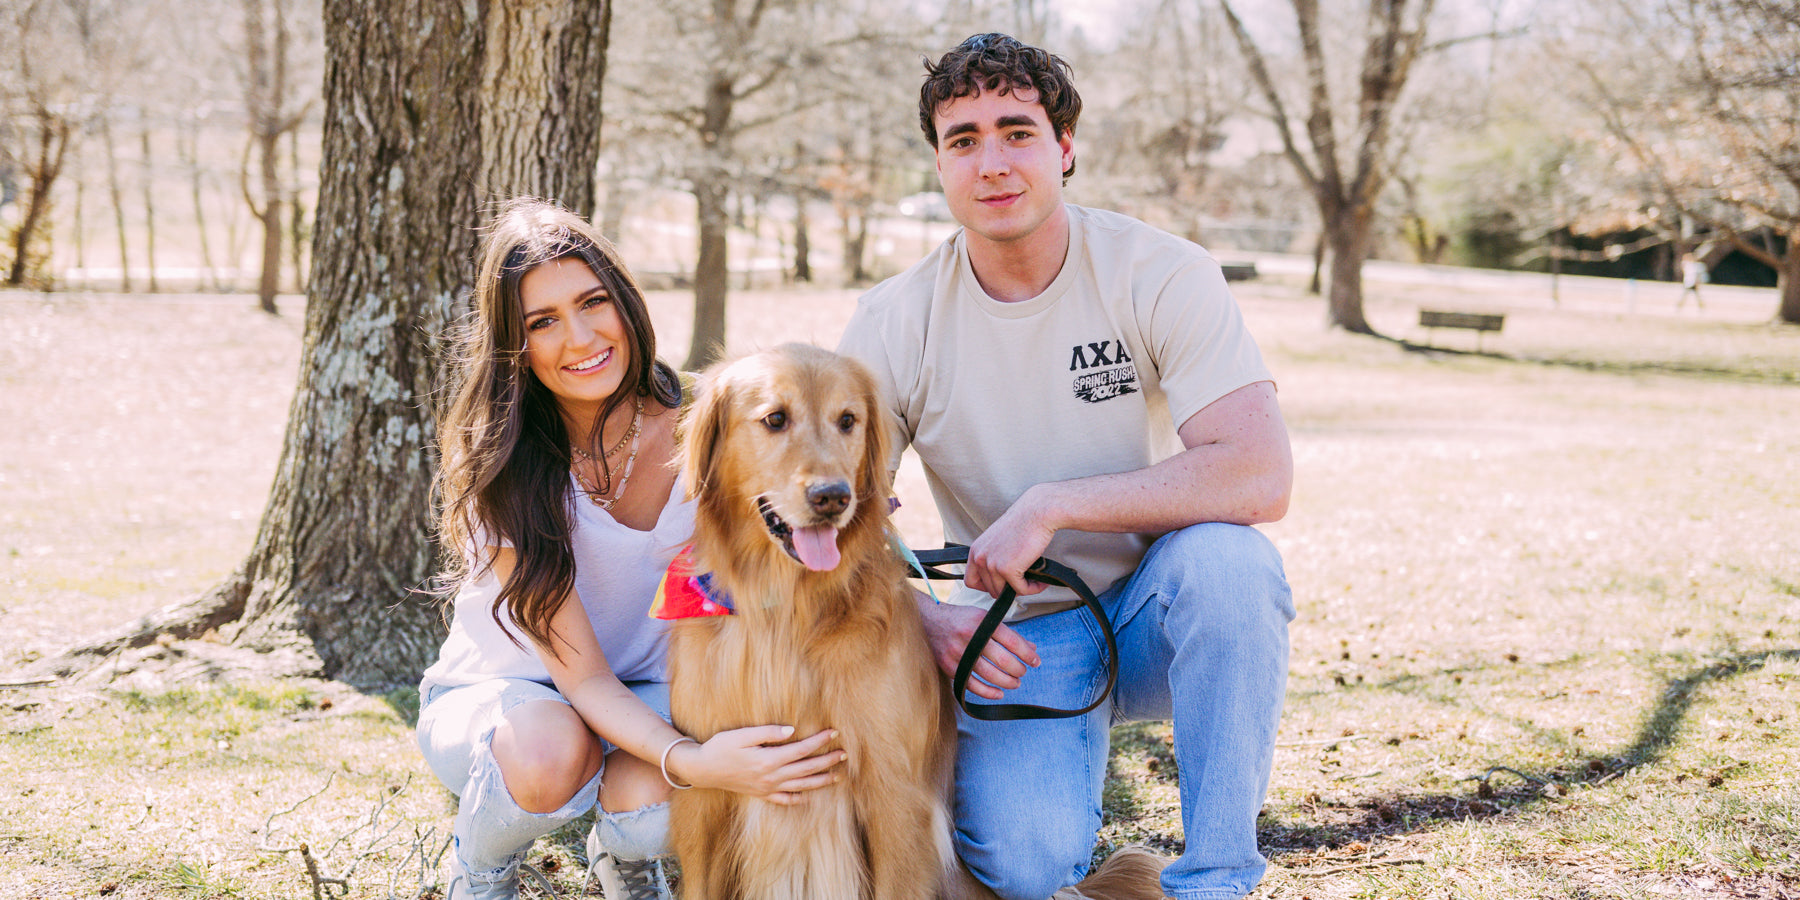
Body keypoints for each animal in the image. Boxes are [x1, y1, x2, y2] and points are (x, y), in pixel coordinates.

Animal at [673, 343, 1166, 900]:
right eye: (775, 419)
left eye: (848, 420)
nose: (833, 497)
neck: (792, 611)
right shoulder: (708, 790)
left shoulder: (896, 797)